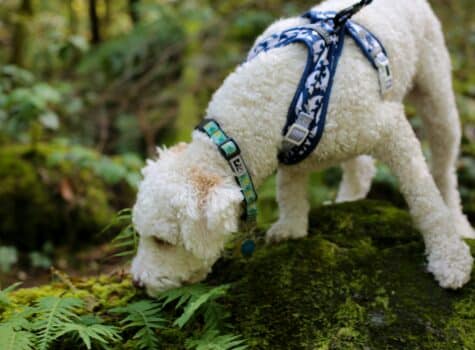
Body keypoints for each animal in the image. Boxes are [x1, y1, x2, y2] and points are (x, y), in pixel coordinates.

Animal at [131, 0, 475, 296]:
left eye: (163, 241)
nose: (137, 282)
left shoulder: (391, 129)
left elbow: (425, 199)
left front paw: (449, 258)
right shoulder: (288, 152)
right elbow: (289, 189)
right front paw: (292, 226)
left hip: (435, 91)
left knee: (443, 169)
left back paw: (459, 224)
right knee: (360, 167)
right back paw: (347, 199)